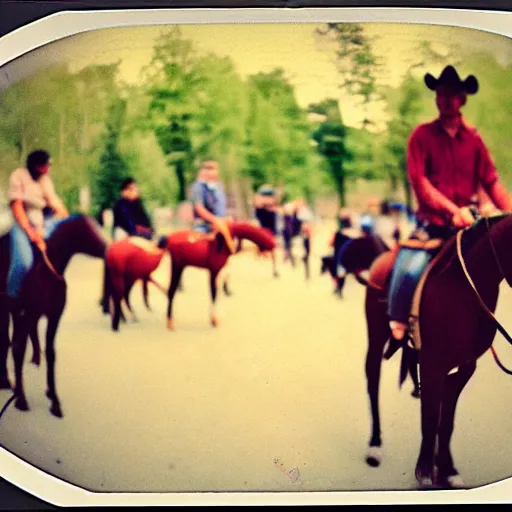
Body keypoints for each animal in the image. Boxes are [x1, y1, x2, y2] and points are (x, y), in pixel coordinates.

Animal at [0, 214, 107, 418]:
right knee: (9, 342)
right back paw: (7, 381)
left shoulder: (53, 317)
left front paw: (54, 400)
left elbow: (50, 353)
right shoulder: (26, 315)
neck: (47, 273)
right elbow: (18, 351)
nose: (107, 248)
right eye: (86, 230)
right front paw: (21, 399)